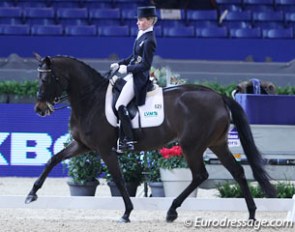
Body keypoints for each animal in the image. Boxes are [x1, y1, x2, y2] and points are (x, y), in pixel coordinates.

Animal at [25, 54, 278, 223]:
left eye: (46, 80)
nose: (39, 109)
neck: (90, 99)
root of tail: (218, 95)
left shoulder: (105, 150)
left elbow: (119, 179)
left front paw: (126, 212)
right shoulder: (82, 145)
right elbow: (53, 160)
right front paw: (31, 194)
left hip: (192, 145)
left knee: (201, 175)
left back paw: (172, 210)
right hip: (217, 144)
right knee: (237, 172)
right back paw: (251, 214)